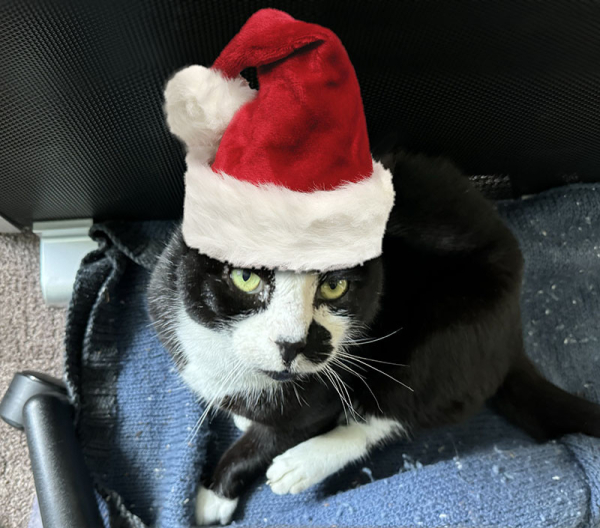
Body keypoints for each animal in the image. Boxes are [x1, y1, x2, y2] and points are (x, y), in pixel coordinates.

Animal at [148, 151, 600, 524]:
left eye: (335, 286)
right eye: (246, 276)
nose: (294, 345)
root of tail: (514, 331)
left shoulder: (319, 397)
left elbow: (270, 439)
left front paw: (214, 493)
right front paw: (242, 415)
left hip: (454, 327)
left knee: (402, 409)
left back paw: (304, 463)